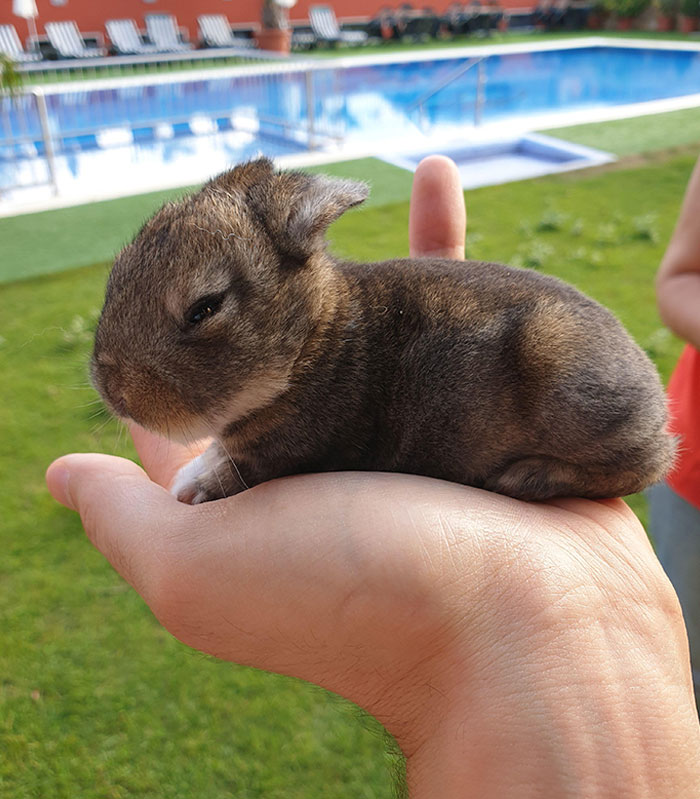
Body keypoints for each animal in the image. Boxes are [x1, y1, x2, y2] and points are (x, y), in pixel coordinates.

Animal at [91, 157, 675, 504]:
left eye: (204, 309)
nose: (114, 392)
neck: (312, 343)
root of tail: (656, 403)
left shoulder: (284, 455)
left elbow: (233, 472)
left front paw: (192, 488)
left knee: (646, 464)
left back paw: (527, 477)